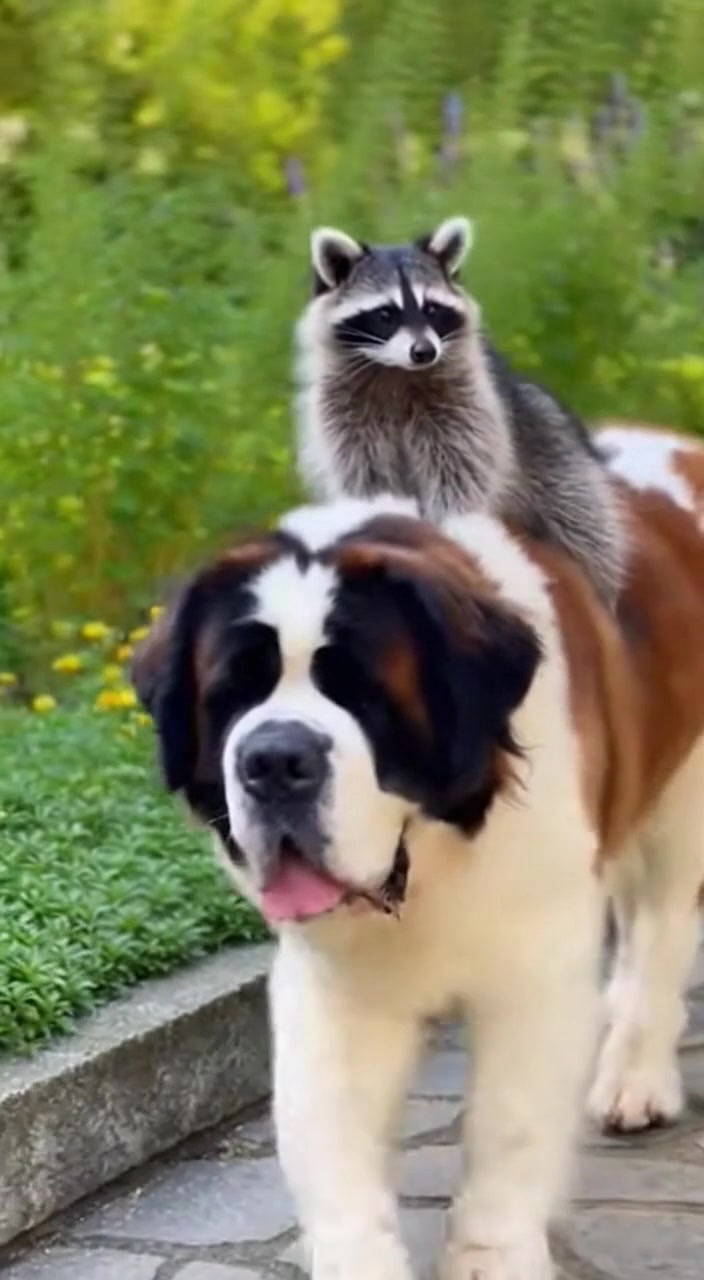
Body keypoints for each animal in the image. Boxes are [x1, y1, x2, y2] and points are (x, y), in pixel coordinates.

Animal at [294, 216, 626, 607]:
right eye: (385, 314)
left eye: (432, 309)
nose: (424, 351)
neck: (396, 371)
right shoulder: (344, 417)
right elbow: (366, 478)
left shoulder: (466, 406)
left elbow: (459, 474)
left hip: (556, 458)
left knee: (586, 532)